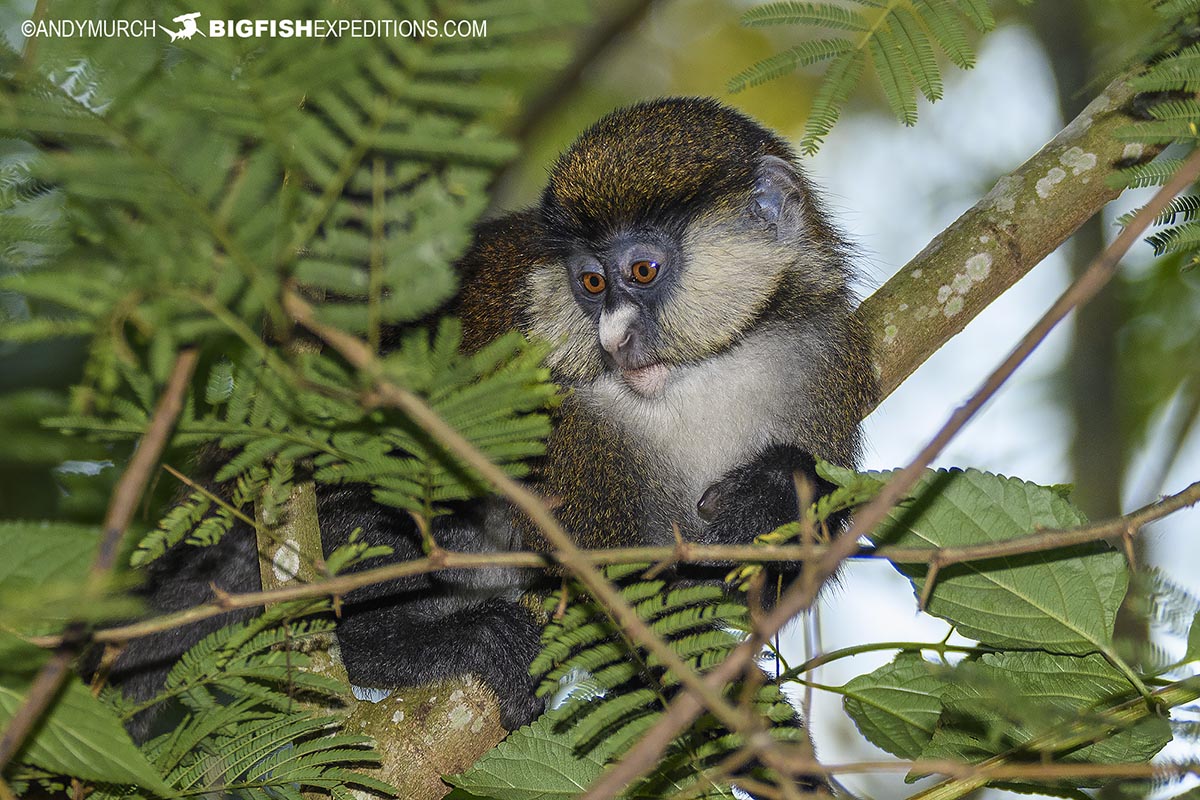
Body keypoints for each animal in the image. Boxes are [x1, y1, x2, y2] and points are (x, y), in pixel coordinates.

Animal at [110, 97, 873, 743]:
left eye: (643, 271)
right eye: (590, 283)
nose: (613, 340)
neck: (703, 373)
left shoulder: (828, 361)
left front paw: (780, 492)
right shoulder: (572, 433)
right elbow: (627, 600)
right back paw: (406, 644)